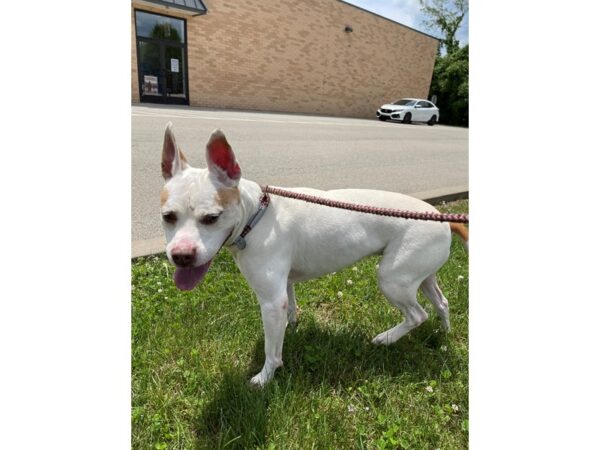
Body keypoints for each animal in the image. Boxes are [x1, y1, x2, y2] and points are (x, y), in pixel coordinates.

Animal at [159, 122, 468, 386]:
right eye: (167, 216)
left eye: (212, 218)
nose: (181, 255)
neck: (257, 214)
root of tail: (440, 216)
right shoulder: (283, 288)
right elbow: (290, 310)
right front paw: (292, 327)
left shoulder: (270, 301)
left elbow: (271, 349)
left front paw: (265, 376)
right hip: (420, 274)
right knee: (441, 303)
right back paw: (443, 332)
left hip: (393, 279)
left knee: (417, 315)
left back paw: (388, 338)